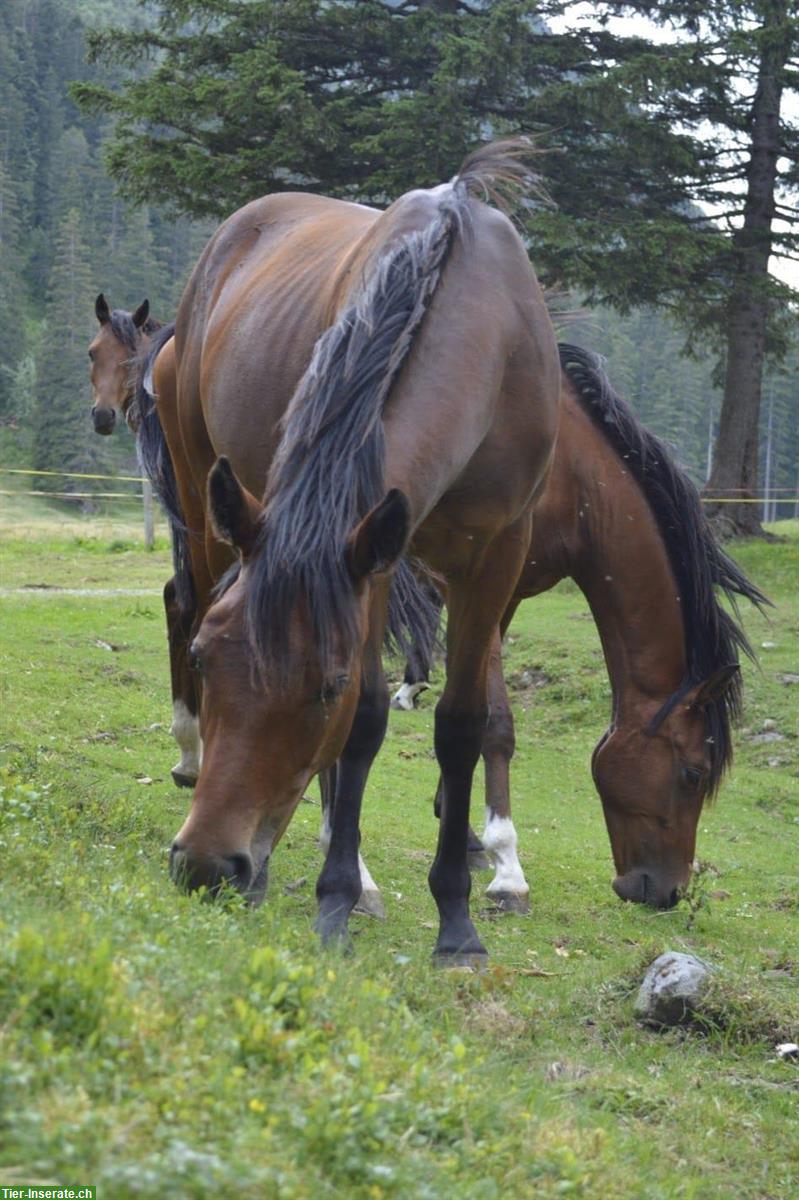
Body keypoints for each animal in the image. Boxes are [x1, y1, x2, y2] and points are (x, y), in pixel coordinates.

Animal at [152, 142, 556, 964]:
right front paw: (338, 896)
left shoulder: (492, 554)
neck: (484, 332)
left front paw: (457, 922)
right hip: (206, 498)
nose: (206, 865)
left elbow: (458, 724)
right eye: (206, 662)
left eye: (322, 689)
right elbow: (367, 724)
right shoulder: (374, 559)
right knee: (194, 595)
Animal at [379, 345, 767, 907]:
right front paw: (506, 864)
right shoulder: (474, 584)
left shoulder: (503, 597)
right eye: (693, 774)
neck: (574, 483)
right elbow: (496, 725)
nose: (668, 893)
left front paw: (463, 830)